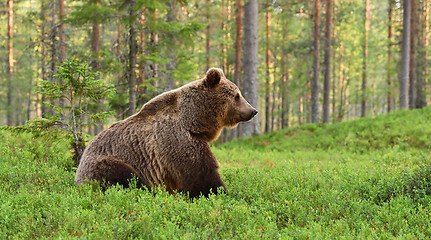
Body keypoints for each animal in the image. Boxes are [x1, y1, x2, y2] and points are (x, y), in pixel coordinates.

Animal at [74, 67, 258, 197]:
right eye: (237, 95)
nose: (253, 110)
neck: (193, 121)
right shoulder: (175, 140)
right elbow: (201, 174)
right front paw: (222, 193)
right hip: (105, 163)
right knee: (127, 177)